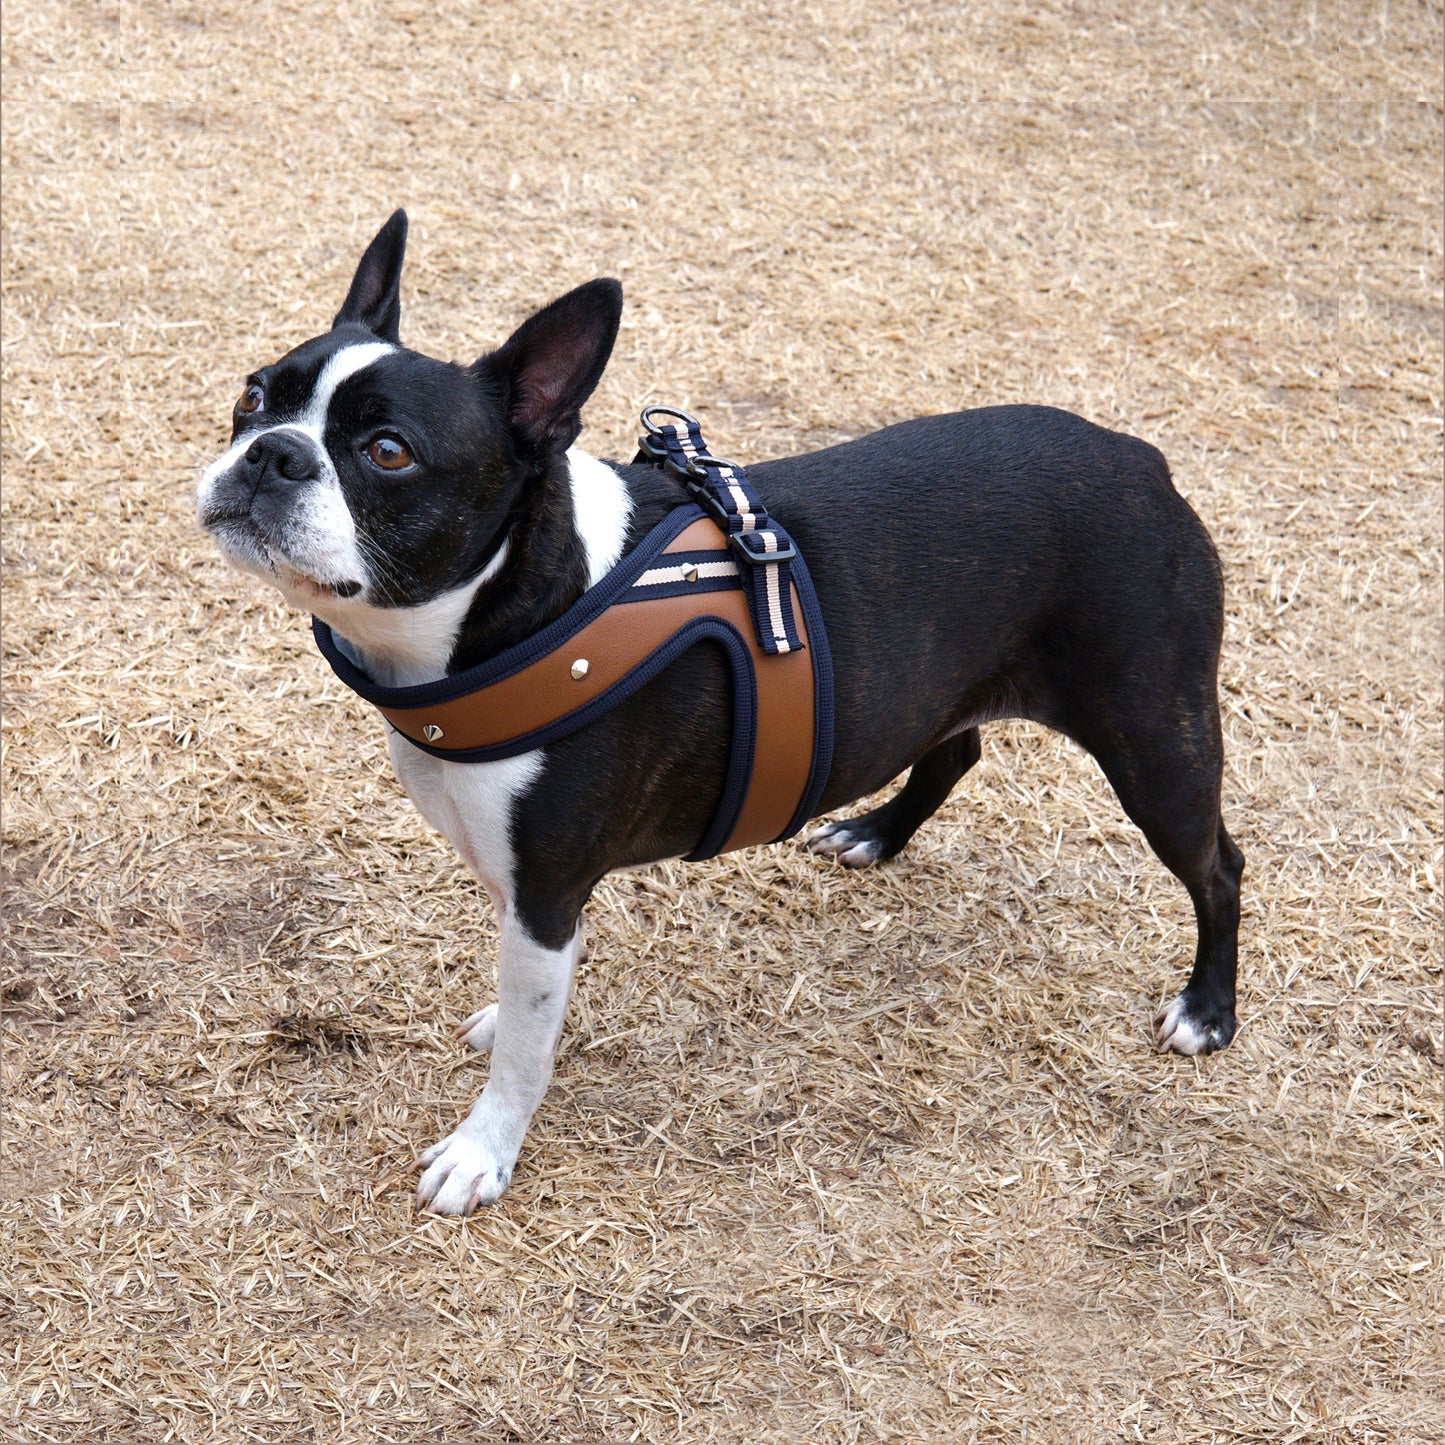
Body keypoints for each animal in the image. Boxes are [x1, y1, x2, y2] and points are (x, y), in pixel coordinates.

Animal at [197, 210, 1248, 1208]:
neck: (512, 607)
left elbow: (527, 1050)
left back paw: (1207, 1008)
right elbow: (530, 993)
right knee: (952, 751)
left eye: (387, 453)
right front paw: (512, 1020)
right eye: (253, 395)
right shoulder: (519, 879)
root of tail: (1140, 459)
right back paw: (874, 831)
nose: (271, 454)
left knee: (1217, 865)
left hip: (1152, 733)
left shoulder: (545, 886)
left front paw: (482, 1151)